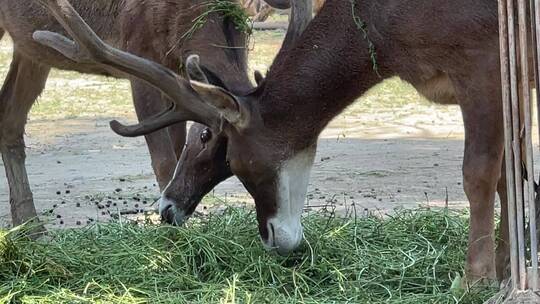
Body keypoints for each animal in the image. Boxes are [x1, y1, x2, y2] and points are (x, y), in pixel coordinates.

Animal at [0, 0, 298, 227]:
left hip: (31, 50)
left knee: (10, 116)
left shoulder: (177, 77)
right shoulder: (139, 54)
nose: (171, 212)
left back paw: (30, 228)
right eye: (205, 136)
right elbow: (163, 159)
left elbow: (176, 150)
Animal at [33, 0, 506, 284]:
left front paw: (475, 280)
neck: (385, 30)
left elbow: (480, 174)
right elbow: (505, 175)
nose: (275, 242)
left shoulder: (481, 58)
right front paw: (503, 268)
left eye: (213, 139)